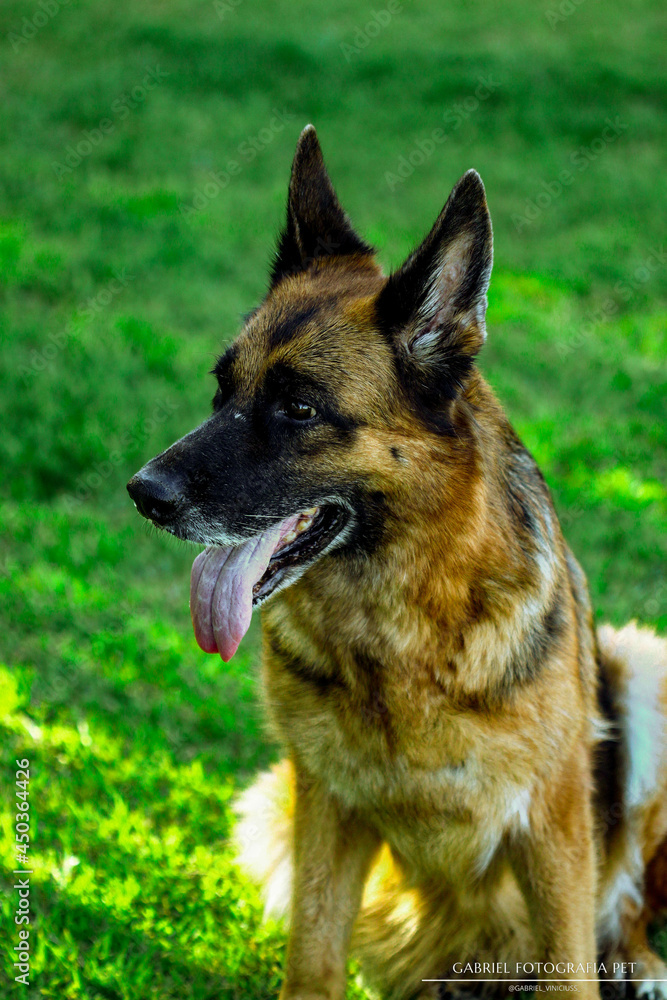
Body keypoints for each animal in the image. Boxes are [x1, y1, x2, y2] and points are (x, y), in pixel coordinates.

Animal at [129, 127, 667, 1000]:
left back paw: (641, 960)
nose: (142, 493)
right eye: (220, 390)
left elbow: (571, 967)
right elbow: (312, 962)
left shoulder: (552, 824)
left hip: (644, 669)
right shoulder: (323, 805)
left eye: (299, 408)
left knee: (625, 903)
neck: (397, 630)